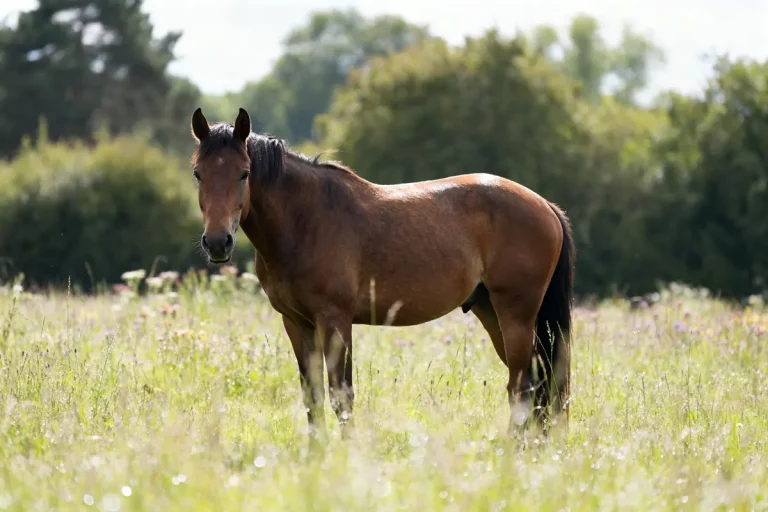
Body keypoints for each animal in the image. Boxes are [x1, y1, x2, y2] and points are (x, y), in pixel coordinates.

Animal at [188, 107, 575, 443]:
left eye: (244, 172)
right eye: (198, 173)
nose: (218, 243)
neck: (305, 221)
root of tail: (546, 206)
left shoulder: (335, 320)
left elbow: (341, 394)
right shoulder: (297, 323)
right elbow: (312, 395)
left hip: (515, 314)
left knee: (524, 386)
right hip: (492, 312)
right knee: (538, 381)